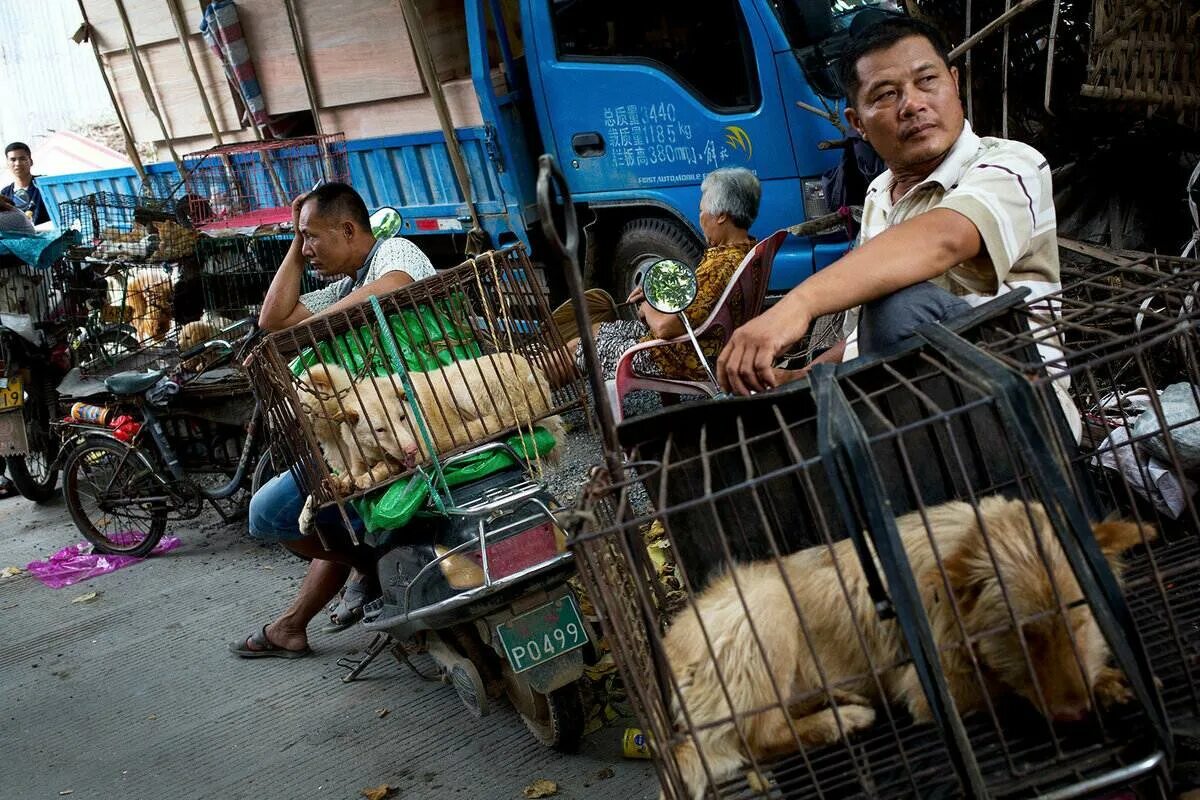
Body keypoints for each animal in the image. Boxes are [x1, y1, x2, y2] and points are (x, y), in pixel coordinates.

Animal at [297, 352, 564, 494]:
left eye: (402, 418)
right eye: (380, 430)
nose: (411, 449)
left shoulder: (421, 449)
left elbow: (386, 468)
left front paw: (368, 478)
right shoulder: (357, 453)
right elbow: (350, 472)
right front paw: (340, 482)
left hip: (460, 386)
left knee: (497, 420)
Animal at [662, 496, 1156, 796]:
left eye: (1080, 619)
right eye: (1021, 635)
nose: (1073, 715)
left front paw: (1105, 681)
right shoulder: (933, 688)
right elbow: (1005, 687)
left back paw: (838, 699)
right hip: (767, 603)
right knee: (758, 737)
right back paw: (842, 720)